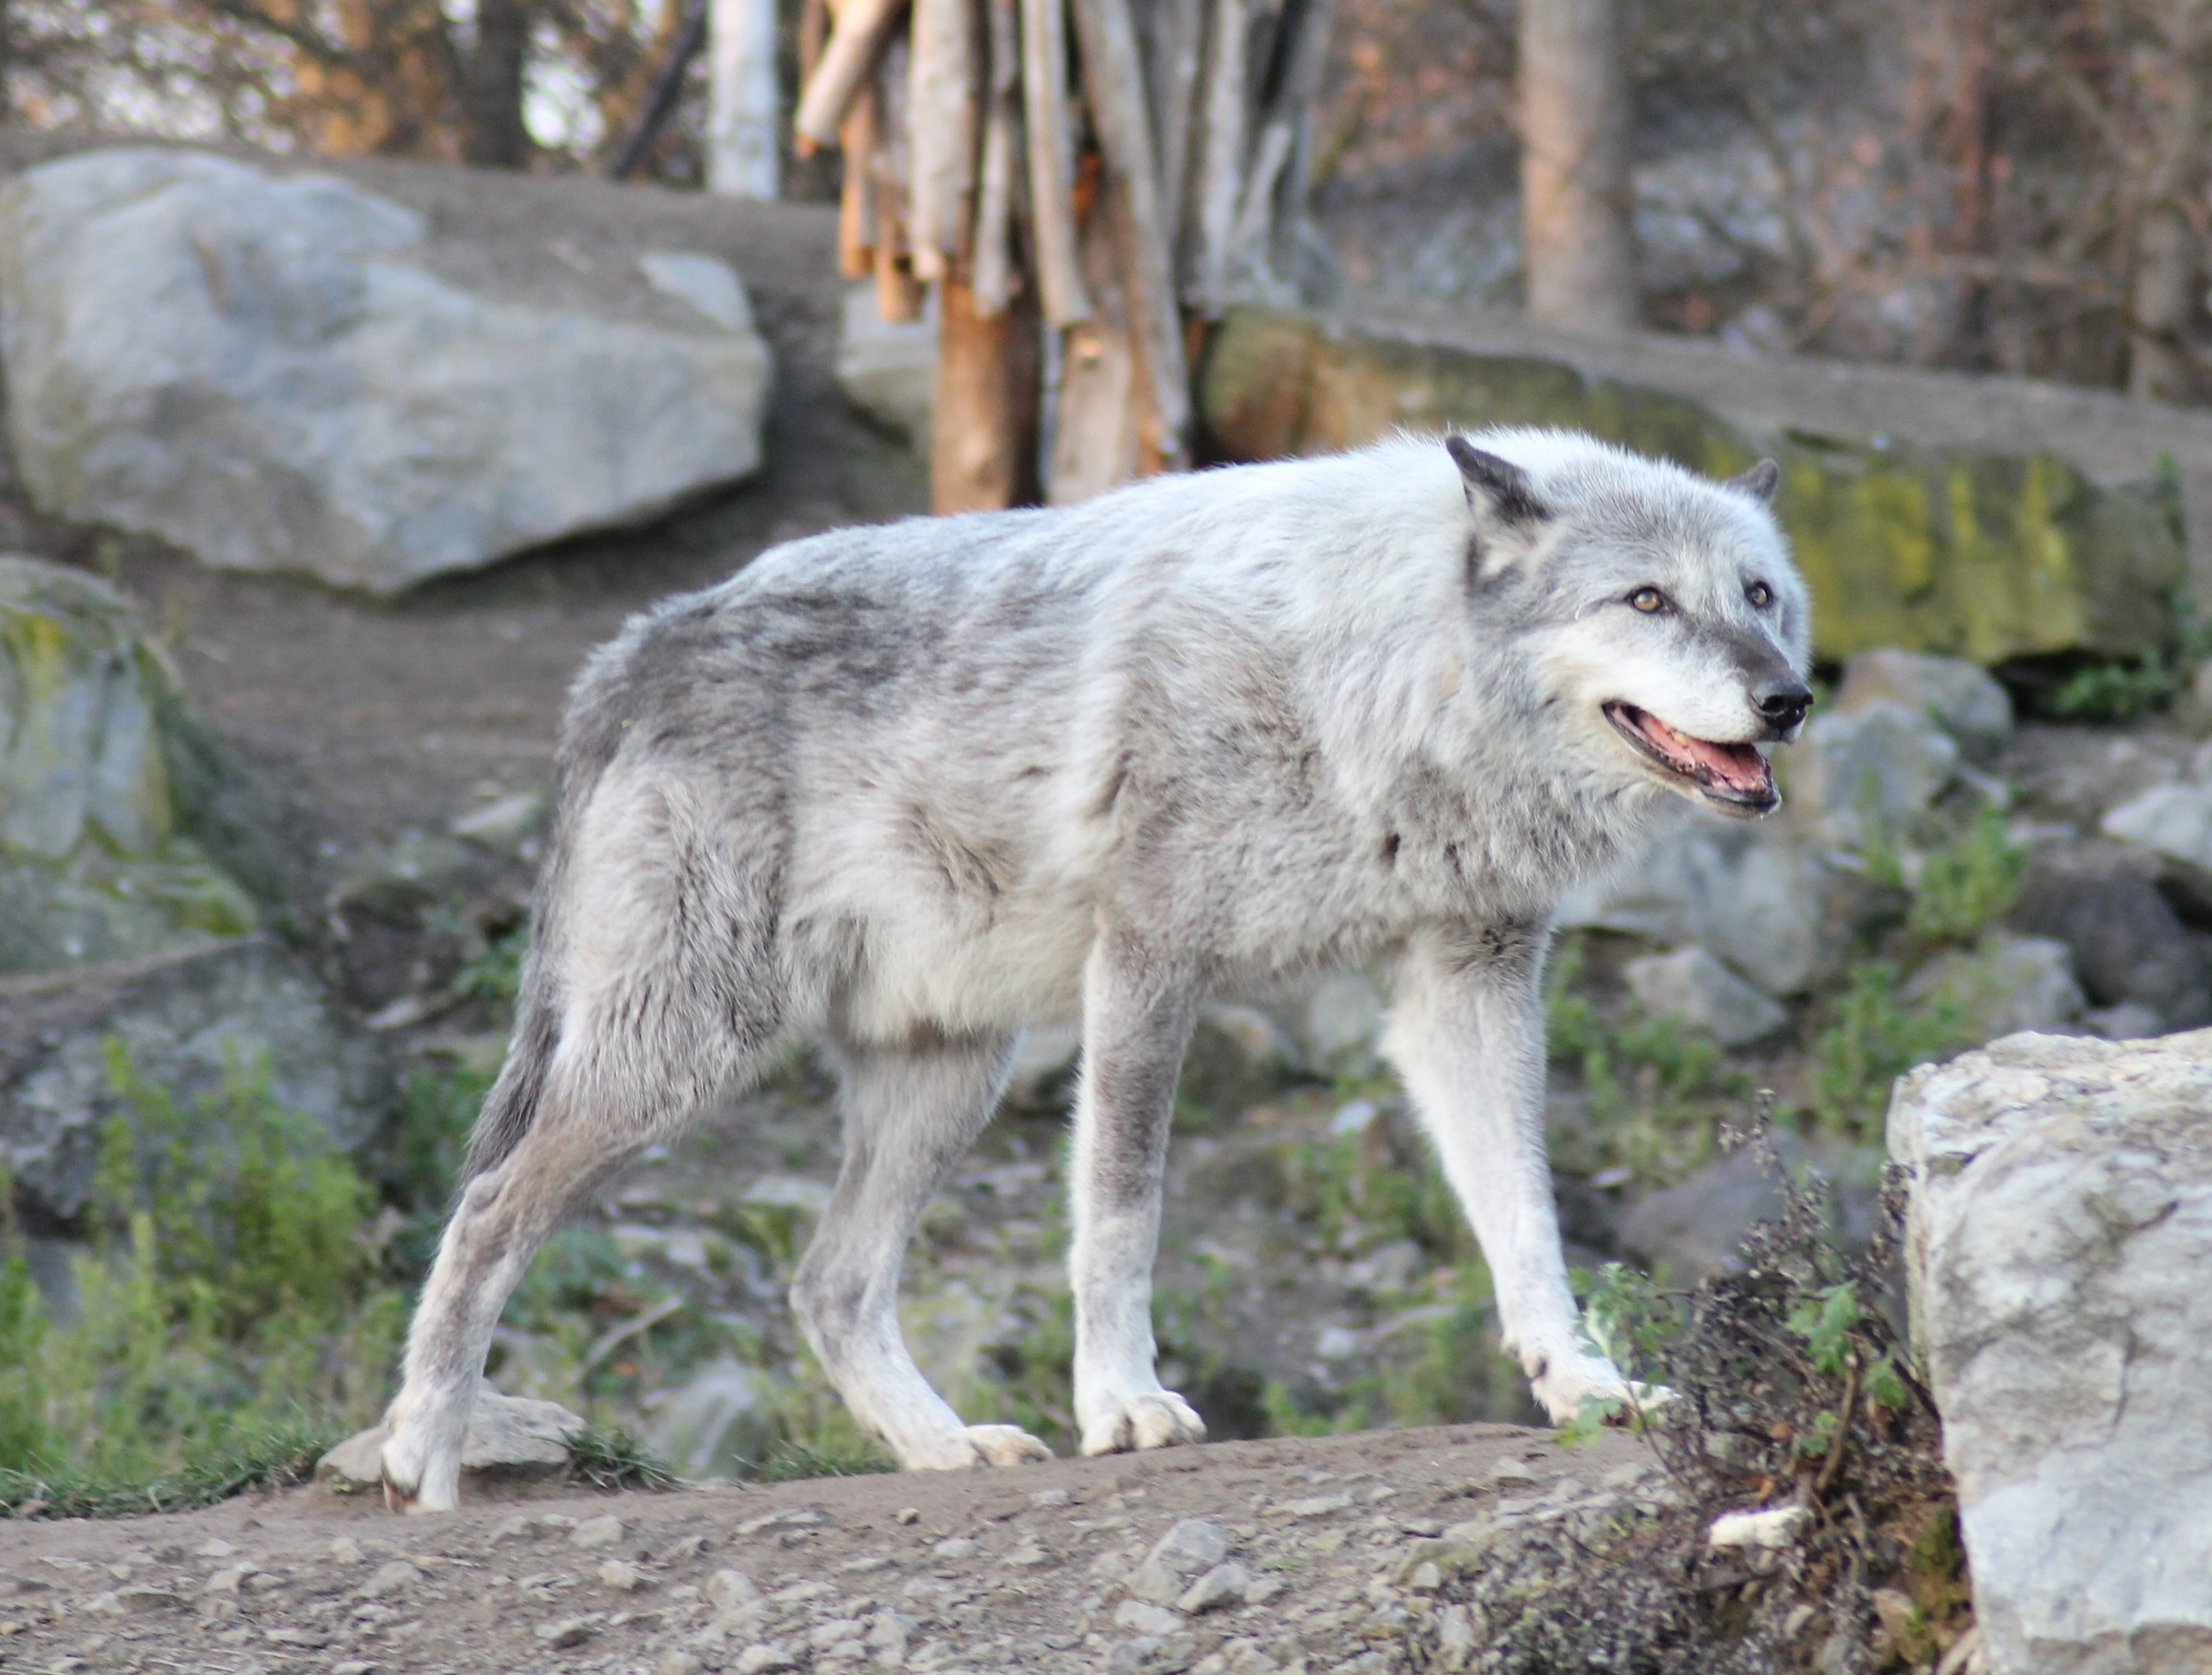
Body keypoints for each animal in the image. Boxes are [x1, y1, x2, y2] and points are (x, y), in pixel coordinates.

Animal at [377, 427, 1812, 1511]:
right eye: (1644, 601)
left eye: (1757, 596)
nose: (1789, 698)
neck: (1367, 673)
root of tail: (635, 646)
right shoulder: (1151, 958)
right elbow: (1121, 1214)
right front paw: (1123, 1405)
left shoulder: (1472, 981)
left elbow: (1525, 1217)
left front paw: (1584, 1386)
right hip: (690, 1053)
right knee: (490, 1207)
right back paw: (424, 1457)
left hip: (946, 1076)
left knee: (827, 1282)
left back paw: (945, 1449)